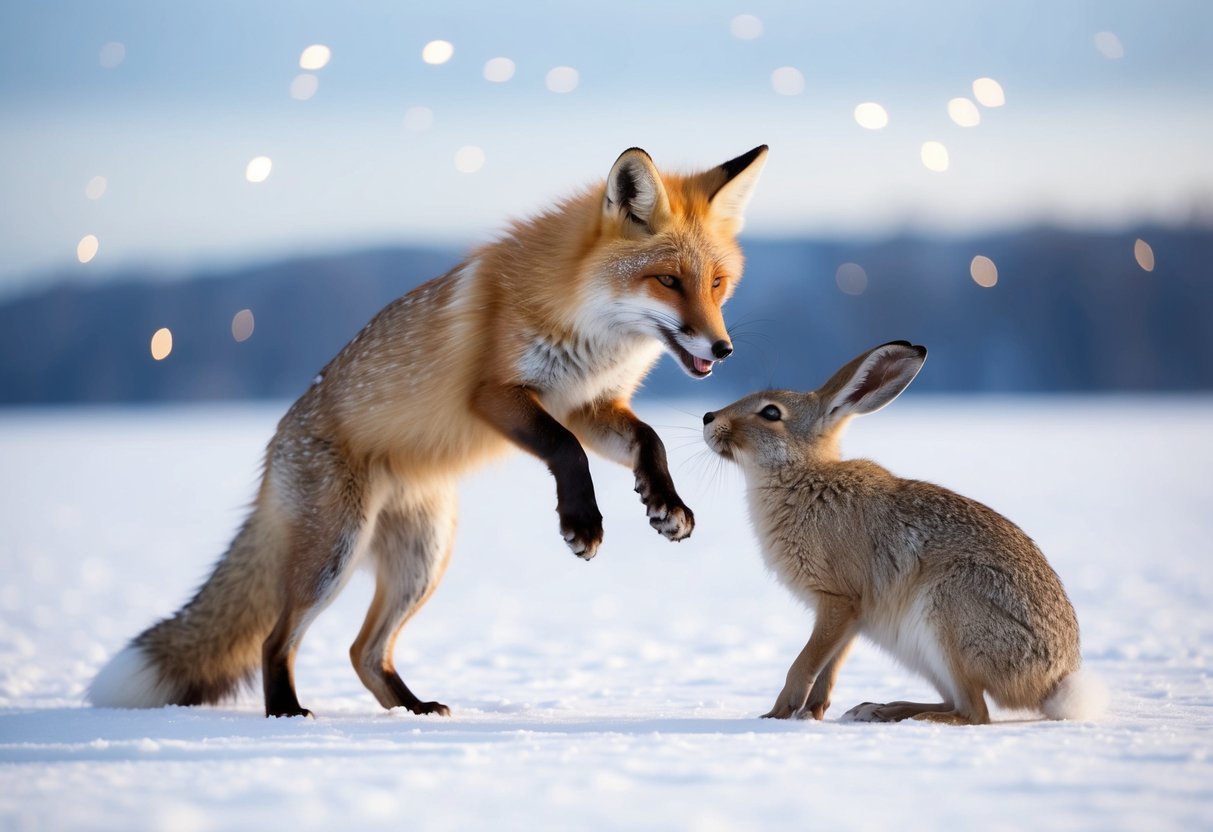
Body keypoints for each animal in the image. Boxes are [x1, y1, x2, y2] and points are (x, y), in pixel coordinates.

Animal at [87, 145, 769, 718]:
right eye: (668, 280)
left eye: (716, 284)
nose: (724, 349)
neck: (590, 329)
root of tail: (271, 451)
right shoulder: (496, 395)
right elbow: (566, 451)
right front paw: (581, 522)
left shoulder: (588, 404)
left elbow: (649, 440)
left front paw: (665, 504)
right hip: (334, 555)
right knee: (277, 640)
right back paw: (286, 713)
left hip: (423, 558)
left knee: (363, 652)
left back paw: (413, 710)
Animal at [702, 340, 1104, 724]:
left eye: (771, 413)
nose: (709, 418)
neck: (802, 474)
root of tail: (1052, 684)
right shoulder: (850, 615)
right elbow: (830, 664)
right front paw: (812, 713)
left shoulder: (838, 599)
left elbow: (805, 662)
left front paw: (777, 714)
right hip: (925, 652)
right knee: (955, 702)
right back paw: (879, 709)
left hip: (950, 616)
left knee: (974, 712)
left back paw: (910, 716)